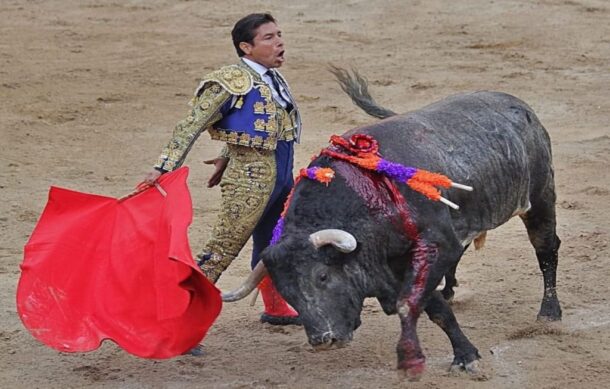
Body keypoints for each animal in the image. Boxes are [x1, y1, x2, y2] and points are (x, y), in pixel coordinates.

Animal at [221, 68, 560, 378]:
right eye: (286, 291)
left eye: (322, 276)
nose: (323, 340)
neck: (365, 194)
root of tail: (519, 106)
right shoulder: (403, 261)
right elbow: (436, 308)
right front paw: (463, 352)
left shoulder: (433, 247)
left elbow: (410, 303)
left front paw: (445, 359)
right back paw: (452, 287)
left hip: (540, 195)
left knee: (546, 249)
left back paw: (549, 313)